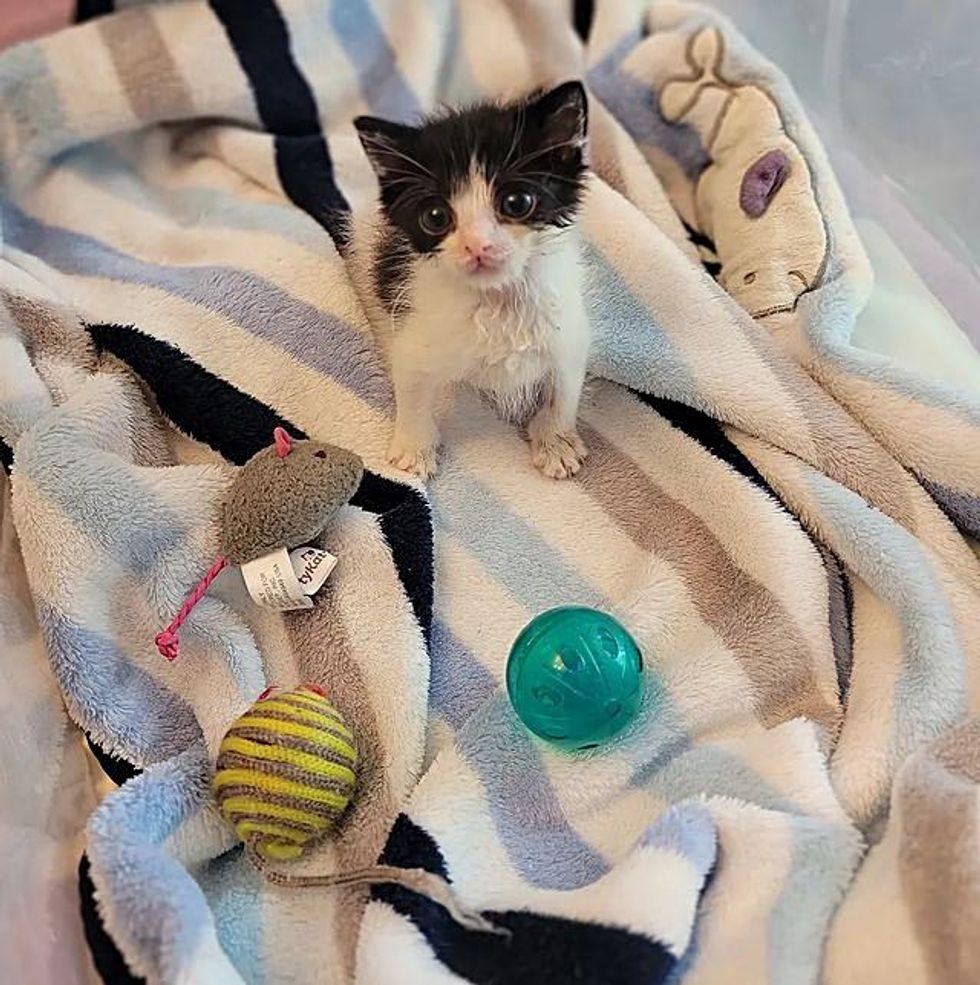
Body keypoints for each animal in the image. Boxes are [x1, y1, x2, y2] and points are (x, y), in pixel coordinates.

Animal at [356, 81, 592, 480]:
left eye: (517, 201)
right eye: (436, 217)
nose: (477, 245)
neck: (496, 299)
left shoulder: (568, 329)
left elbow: (564, 387)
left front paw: (557, 443)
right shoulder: (415, 332)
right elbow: (412, 386)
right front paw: (414, 449)